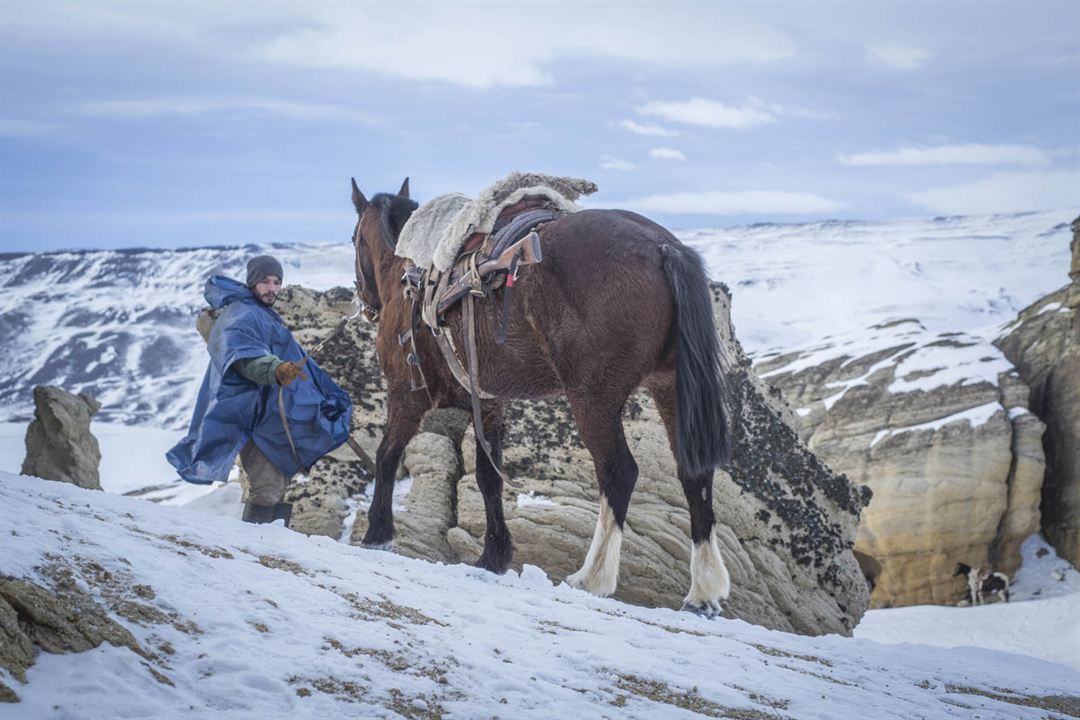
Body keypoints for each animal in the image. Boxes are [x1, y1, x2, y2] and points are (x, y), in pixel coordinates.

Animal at [352, 177, 734, 617]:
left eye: (353, 239)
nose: (365, 304)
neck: (409, 274)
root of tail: (662, 247)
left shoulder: (406, 392)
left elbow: (387, 455)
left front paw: (378, 531)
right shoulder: (490, 404)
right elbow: (488, 477)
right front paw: (494, 554)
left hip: (593, 398)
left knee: (619, 472)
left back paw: (592, 577)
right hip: (668, 388)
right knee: (694, 474)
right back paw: (703, 589)